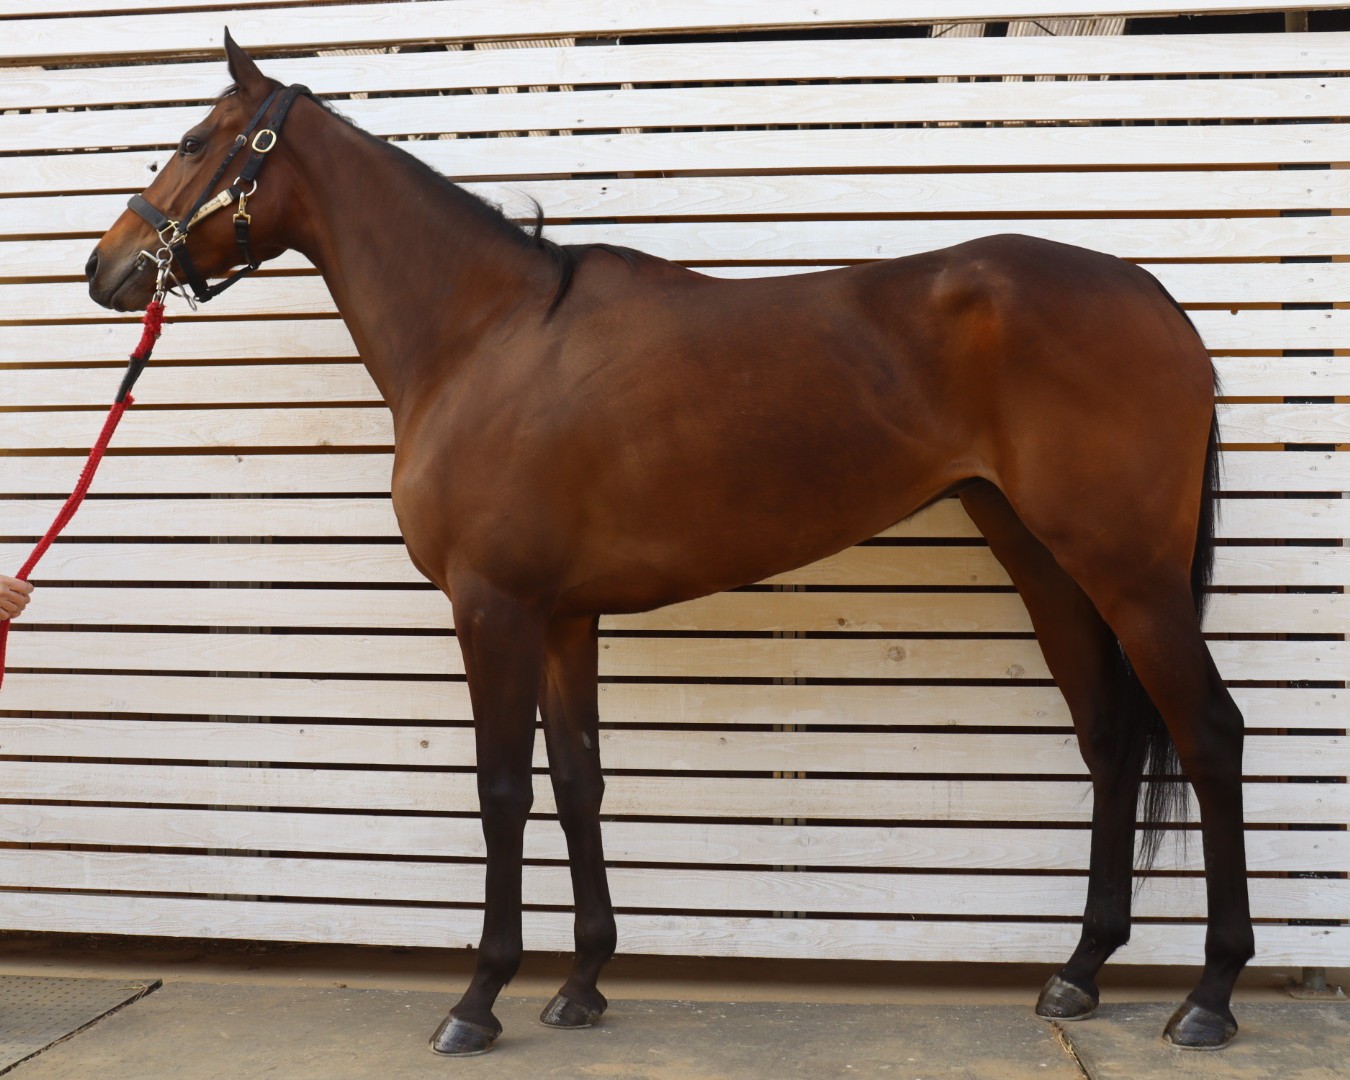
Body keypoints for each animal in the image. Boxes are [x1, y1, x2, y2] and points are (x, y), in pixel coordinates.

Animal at [86, 34, 1252, 1056]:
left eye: (193, 139)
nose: (106, 269)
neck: (481, 338)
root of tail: (1150, 292)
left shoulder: (493, 607)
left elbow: (502, 790)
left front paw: (479, 1000)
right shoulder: (563, 615)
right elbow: (579, 781)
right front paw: (584, 984)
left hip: (1131, 577)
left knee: (1209, 733)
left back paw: (1209, 998)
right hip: (1048, 564)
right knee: (1110, 742)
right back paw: (1081, 971)